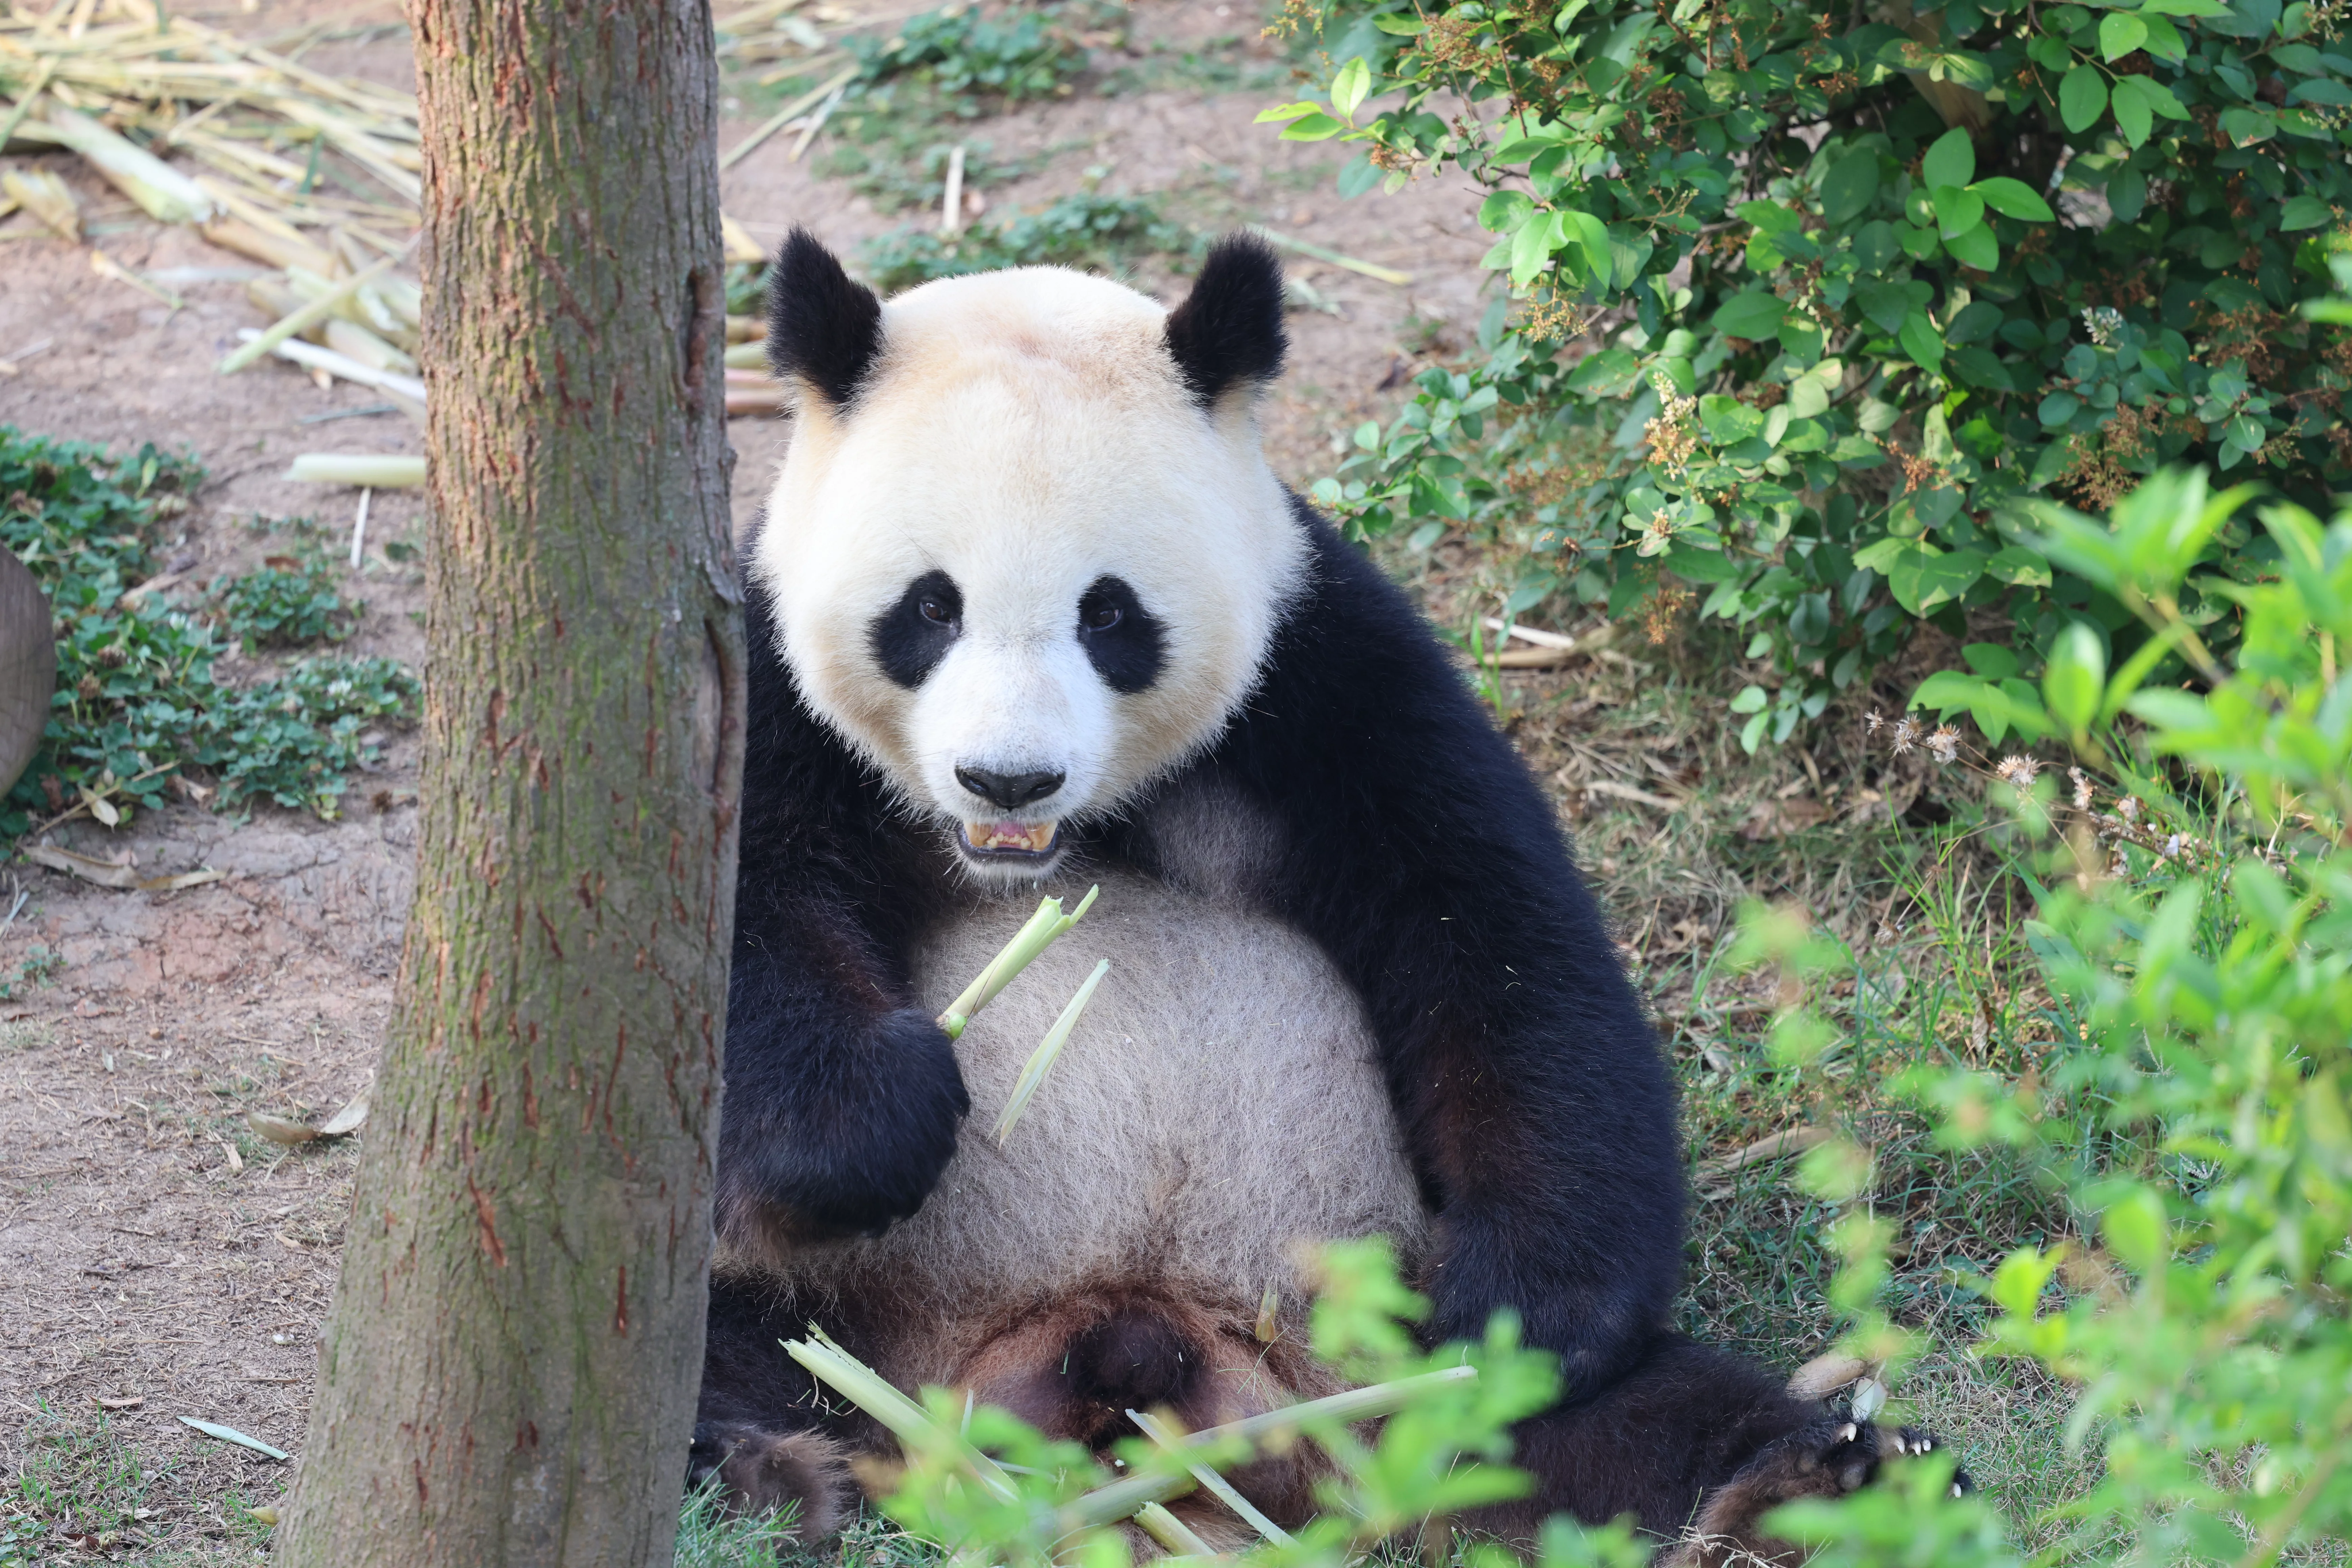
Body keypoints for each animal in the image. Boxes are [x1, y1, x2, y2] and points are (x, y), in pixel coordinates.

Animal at [691, 229, 1955, 1562]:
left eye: (1109, 614)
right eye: (930, 607)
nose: (1008, 777)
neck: (1043, 845)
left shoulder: (1324, 672)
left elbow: (1500, 949)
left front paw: (1523, 1303)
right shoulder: (762, 687)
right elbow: (743, 946)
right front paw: (876, 1121)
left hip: (1383, 1353)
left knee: (1615, 1421)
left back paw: (1819, 1483)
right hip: (851, 1328)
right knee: (727, 1340)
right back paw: (779, 1470)